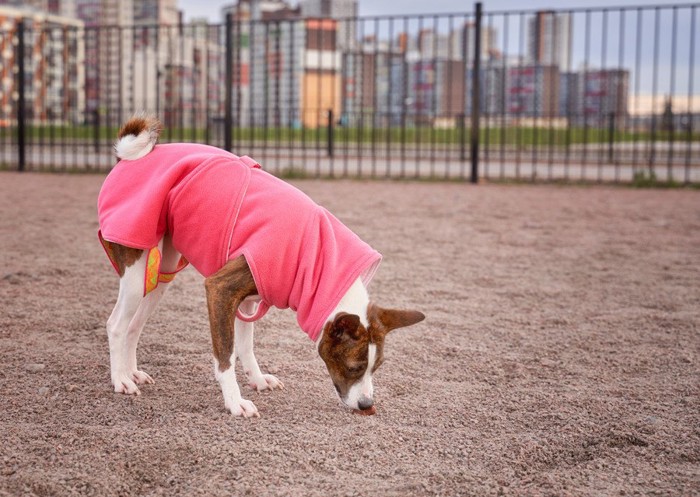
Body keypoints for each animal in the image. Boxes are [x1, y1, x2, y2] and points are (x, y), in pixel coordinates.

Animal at [97, 114, 426, 416]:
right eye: (355, 366)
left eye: (376, 367)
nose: (367, 404)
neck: (317, 260)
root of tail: (129, 156)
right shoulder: (220, 288)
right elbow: (226, 356)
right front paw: (235, 402)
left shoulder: (248, 300)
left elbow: (245, 347)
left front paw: (256, 380)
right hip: (136, 271)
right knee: (116, 325)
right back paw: (121, 379)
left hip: (159, 277)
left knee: (134, 325)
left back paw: (131, 371)